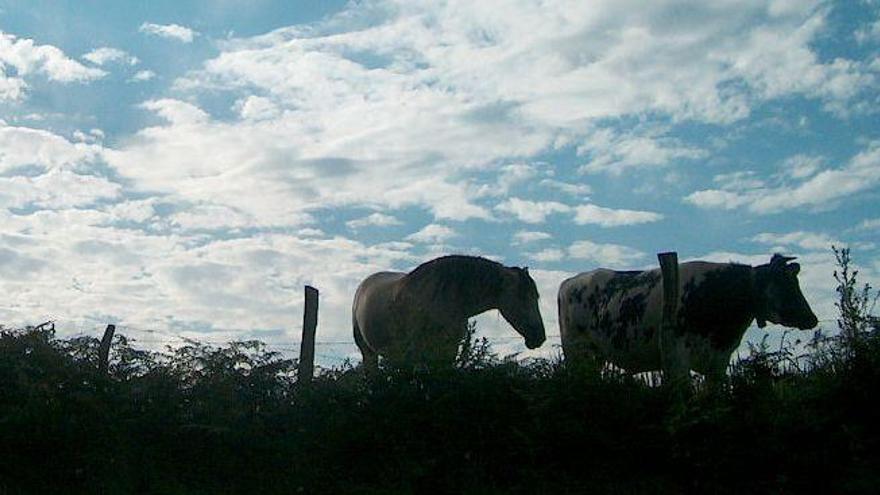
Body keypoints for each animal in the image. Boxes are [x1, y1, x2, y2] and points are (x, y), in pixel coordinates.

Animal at [350, 256, 544, 368]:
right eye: (522, 296)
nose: (540, 337)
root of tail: (363, 286)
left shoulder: (448, 351)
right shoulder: (418, 354)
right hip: (368, 353)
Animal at [556, 254, 820, 382]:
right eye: (785, 283)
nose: (811, 318)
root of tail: (570, 281)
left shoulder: (719, 360)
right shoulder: (677, 355)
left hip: (595, 356)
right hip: (576, 351)